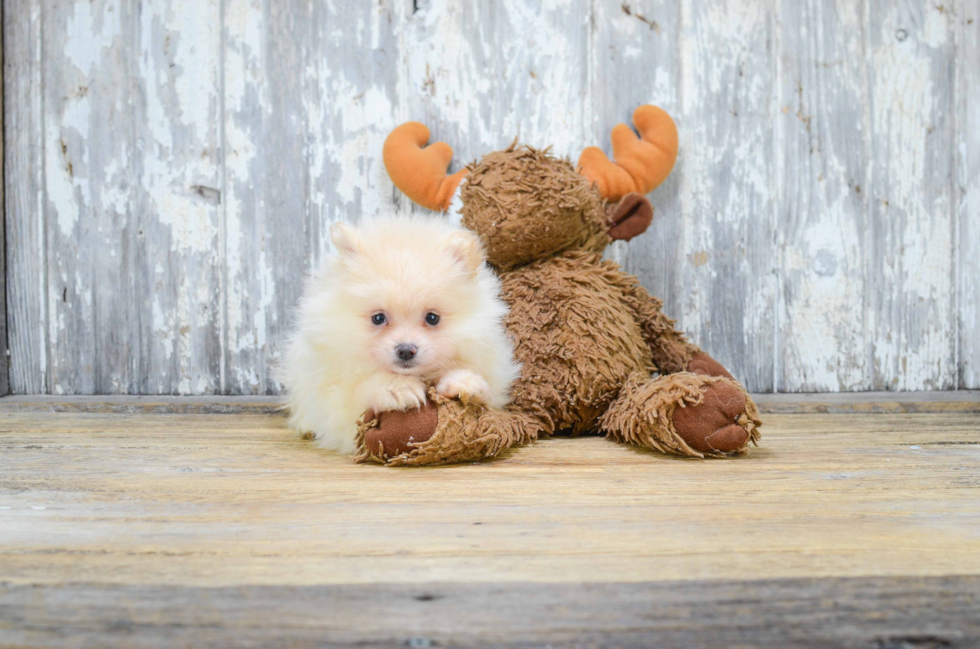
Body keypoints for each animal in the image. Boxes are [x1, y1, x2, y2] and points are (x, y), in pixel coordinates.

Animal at [280, 215, 520, 454]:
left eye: (432, 318)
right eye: (378, 318)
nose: (405, 350)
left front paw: (463, 382)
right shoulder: (335, 401)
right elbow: (359, 393)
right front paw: (396, 388)